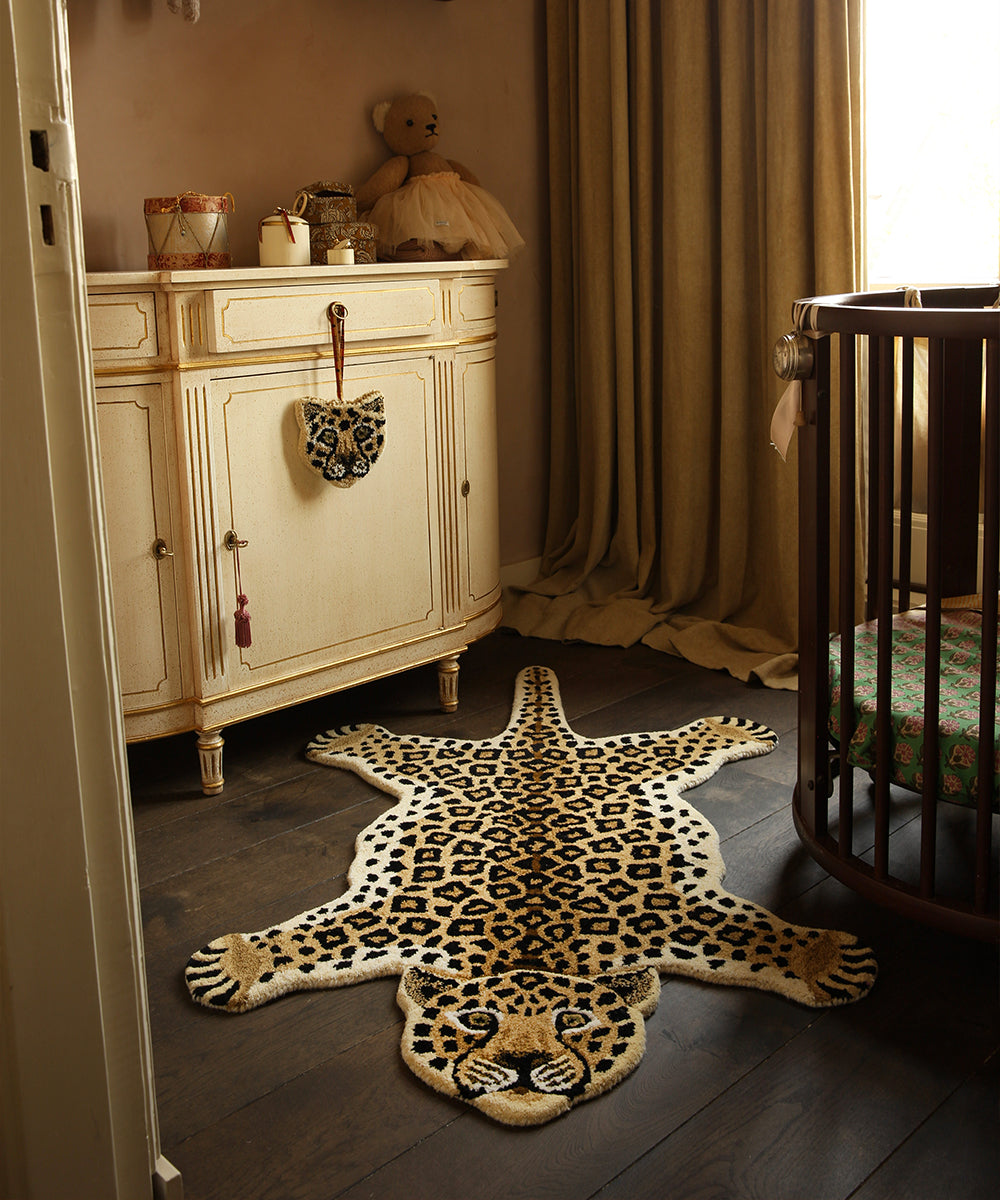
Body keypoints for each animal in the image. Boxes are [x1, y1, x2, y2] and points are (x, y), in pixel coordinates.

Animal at [185, 665, 877, 1125]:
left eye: (573, 1021)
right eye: (475, 1021)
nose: (521, 1068)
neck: (529, 945)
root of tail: (539, 739)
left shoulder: (671, 917)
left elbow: (753, 935)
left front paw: (825, 958)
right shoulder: (395, 919)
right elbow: (314, 937)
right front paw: (235, 963)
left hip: (641, 762)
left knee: (675, 741)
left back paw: (728, 724)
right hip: (433, 766)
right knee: (400, 746)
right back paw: (349, 737)